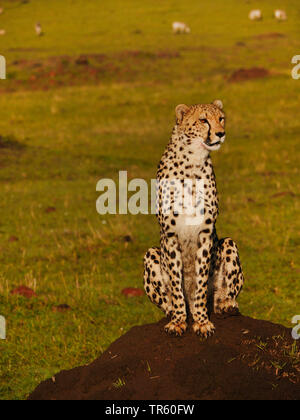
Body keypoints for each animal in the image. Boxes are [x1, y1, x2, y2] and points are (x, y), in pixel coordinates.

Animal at [144, 101, 245, 338]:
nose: (221, 133)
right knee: (167, 302)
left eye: (221, 118)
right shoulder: (170, 236)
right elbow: (176, 284)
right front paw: (179, 322)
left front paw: (201, 322)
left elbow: (200, 283)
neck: (192, 161)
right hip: (151, 254)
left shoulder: (205, 234)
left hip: (228, 243)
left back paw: (226, 304)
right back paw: (174, 312)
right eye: (203, 120)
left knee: (222, 296)